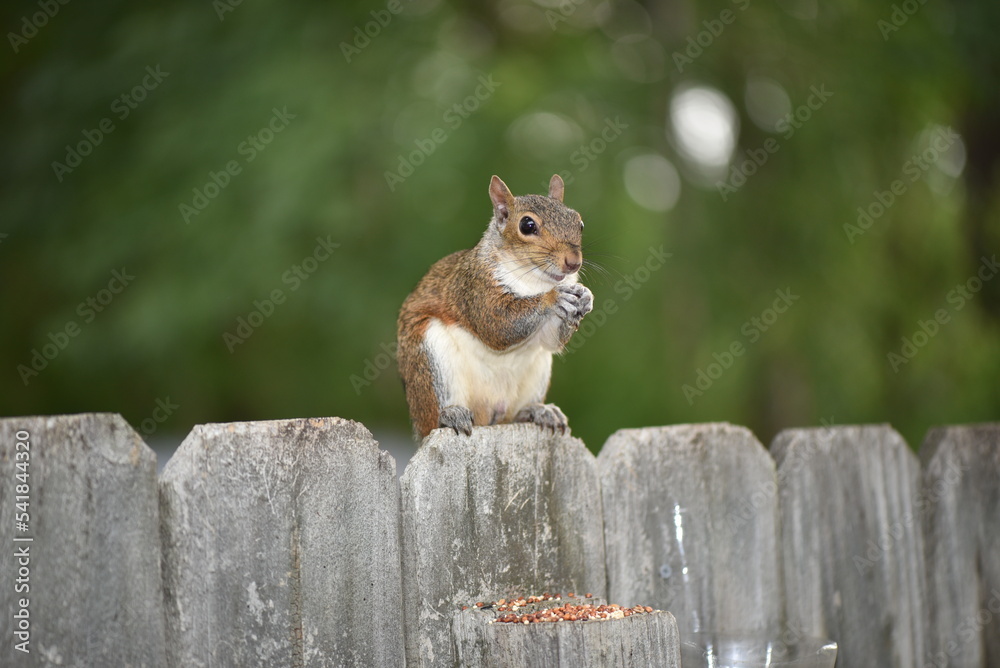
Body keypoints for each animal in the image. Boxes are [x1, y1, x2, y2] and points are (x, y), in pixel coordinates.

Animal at [397, 174, 593, 439]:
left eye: (579, 223)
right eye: (527, 225)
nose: (573, 263)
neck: (534, 281)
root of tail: (488, 417)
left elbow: (552, 341)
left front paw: (585, 297)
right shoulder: (475, 288)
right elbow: (497, 325)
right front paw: (553, 298)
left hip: (538, 371)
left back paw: (538, 411)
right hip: (429, 358)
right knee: (433, 419)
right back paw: (451, 415)